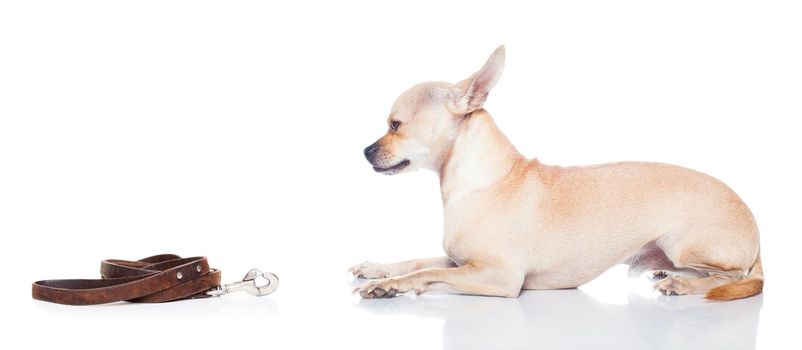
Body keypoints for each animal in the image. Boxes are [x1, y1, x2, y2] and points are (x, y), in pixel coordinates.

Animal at [352, 45, 764, 300]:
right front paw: (379, 271)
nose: (365, 151)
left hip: (686, 246)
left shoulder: (498, 276)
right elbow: (418, 262)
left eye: (395, 125)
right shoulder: (461, 263)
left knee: (734, 277)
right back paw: (669, 276)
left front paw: (397, 286)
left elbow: (428, 274)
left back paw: (681, 285)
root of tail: (755, 230)